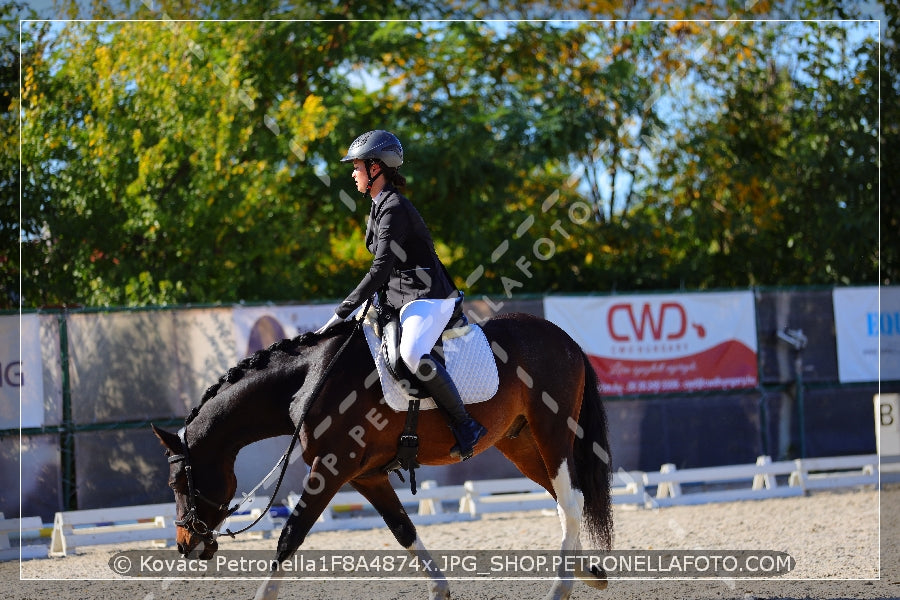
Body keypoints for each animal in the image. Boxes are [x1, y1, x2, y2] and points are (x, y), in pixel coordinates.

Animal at [153, 314, 612, 600]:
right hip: (519, 443)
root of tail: (565, 340)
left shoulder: (331, 469)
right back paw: (588, 573)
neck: (310, 381)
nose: (185, 546)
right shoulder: (365, 476)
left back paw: (561, 587)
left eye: (177, 483)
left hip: (552, 433)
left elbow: (290, 535)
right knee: (564, 501)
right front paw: (440, 589)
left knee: (571, 500)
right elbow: (403, 529)